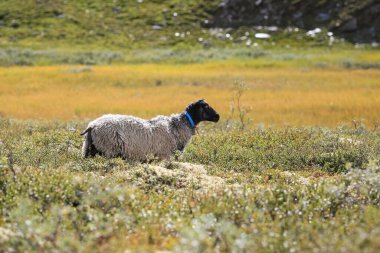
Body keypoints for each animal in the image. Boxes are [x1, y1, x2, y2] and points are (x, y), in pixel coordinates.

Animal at [82, 99, 220, 160]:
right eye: (205, 106)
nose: (218, 116)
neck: (176, 126)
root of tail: (92, 125)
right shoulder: (164, 155)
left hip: (91, 149)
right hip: (108, 150)